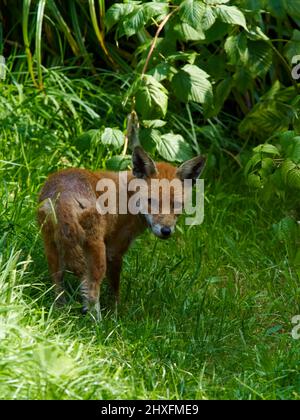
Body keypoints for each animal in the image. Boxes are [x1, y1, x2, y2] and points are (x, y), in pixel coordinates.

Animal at [37, 145, 205, 318]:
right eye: (151, 201)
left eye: (177, 204)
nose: (166, 231)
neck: (128, 197)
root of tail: (63, 194)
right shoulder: (114, 251)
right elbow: (115, 290)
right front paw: (116, 315)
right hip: (96, 254)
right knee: (92, 291)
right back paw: (97, 323)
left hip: (53, 249)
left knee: (57, 285)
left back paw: (60, 311)